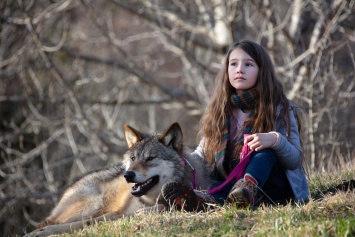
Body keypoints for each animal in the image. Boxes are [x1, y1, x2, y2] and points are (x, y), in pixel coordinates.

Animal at [25, 123, 214, 236]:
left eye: (150, 158)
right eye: (133, 158)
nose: (128, 175)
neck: (150, 200)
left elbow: (162, 207)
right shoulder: (116, 213)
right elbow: (86, 223)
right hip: (93, 204)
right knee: (51, 222)